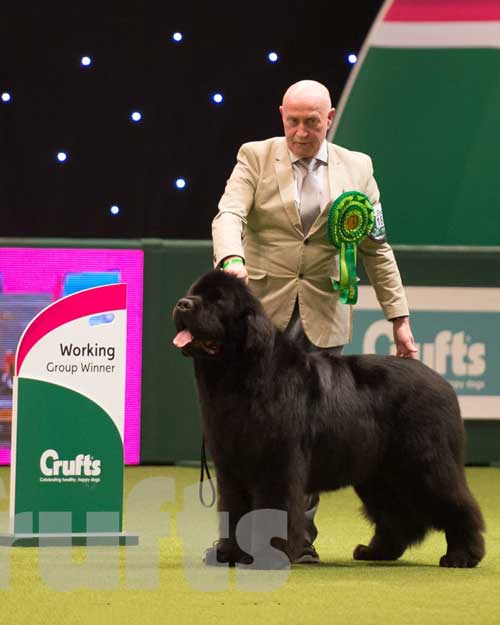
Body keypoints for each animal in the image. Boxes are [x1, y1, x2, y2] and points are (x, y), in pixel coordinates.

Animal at [173, 268, 484, 564]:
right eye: (193, 293)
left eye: (218, 301)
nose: (182, 304)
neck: (240, 373)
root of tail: (444, 383)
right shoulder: (232, 466)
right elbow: (235, 511)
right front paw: (230, 554)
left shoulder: (276, 463)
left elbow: (273, 507)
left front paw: (267, 557)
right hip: (379, 473)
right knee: (397, 514)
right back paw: (375, 551)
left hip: (425, 462)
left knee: (458, 504)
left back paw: (462, 555)